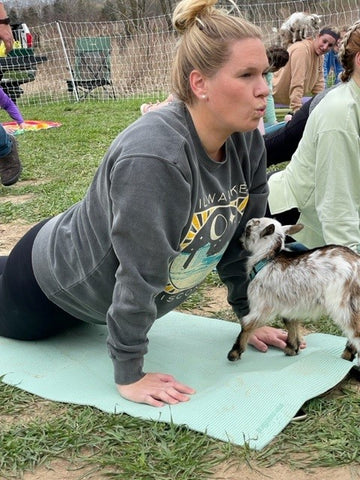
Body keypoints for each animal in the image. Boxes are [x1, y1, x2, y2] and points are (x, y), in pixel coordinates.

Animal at [228, 219, 360, 366]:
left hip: (344, 304)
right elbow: (290, 322)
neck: (267, 258)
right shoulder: (291, 305)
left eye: (248, 229)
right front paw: (292, 349)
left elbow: (246, 325)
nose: (238, 240)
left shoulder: (260, 305)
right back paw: (347, 356)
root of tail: (356, 263)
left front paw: (234, 353)